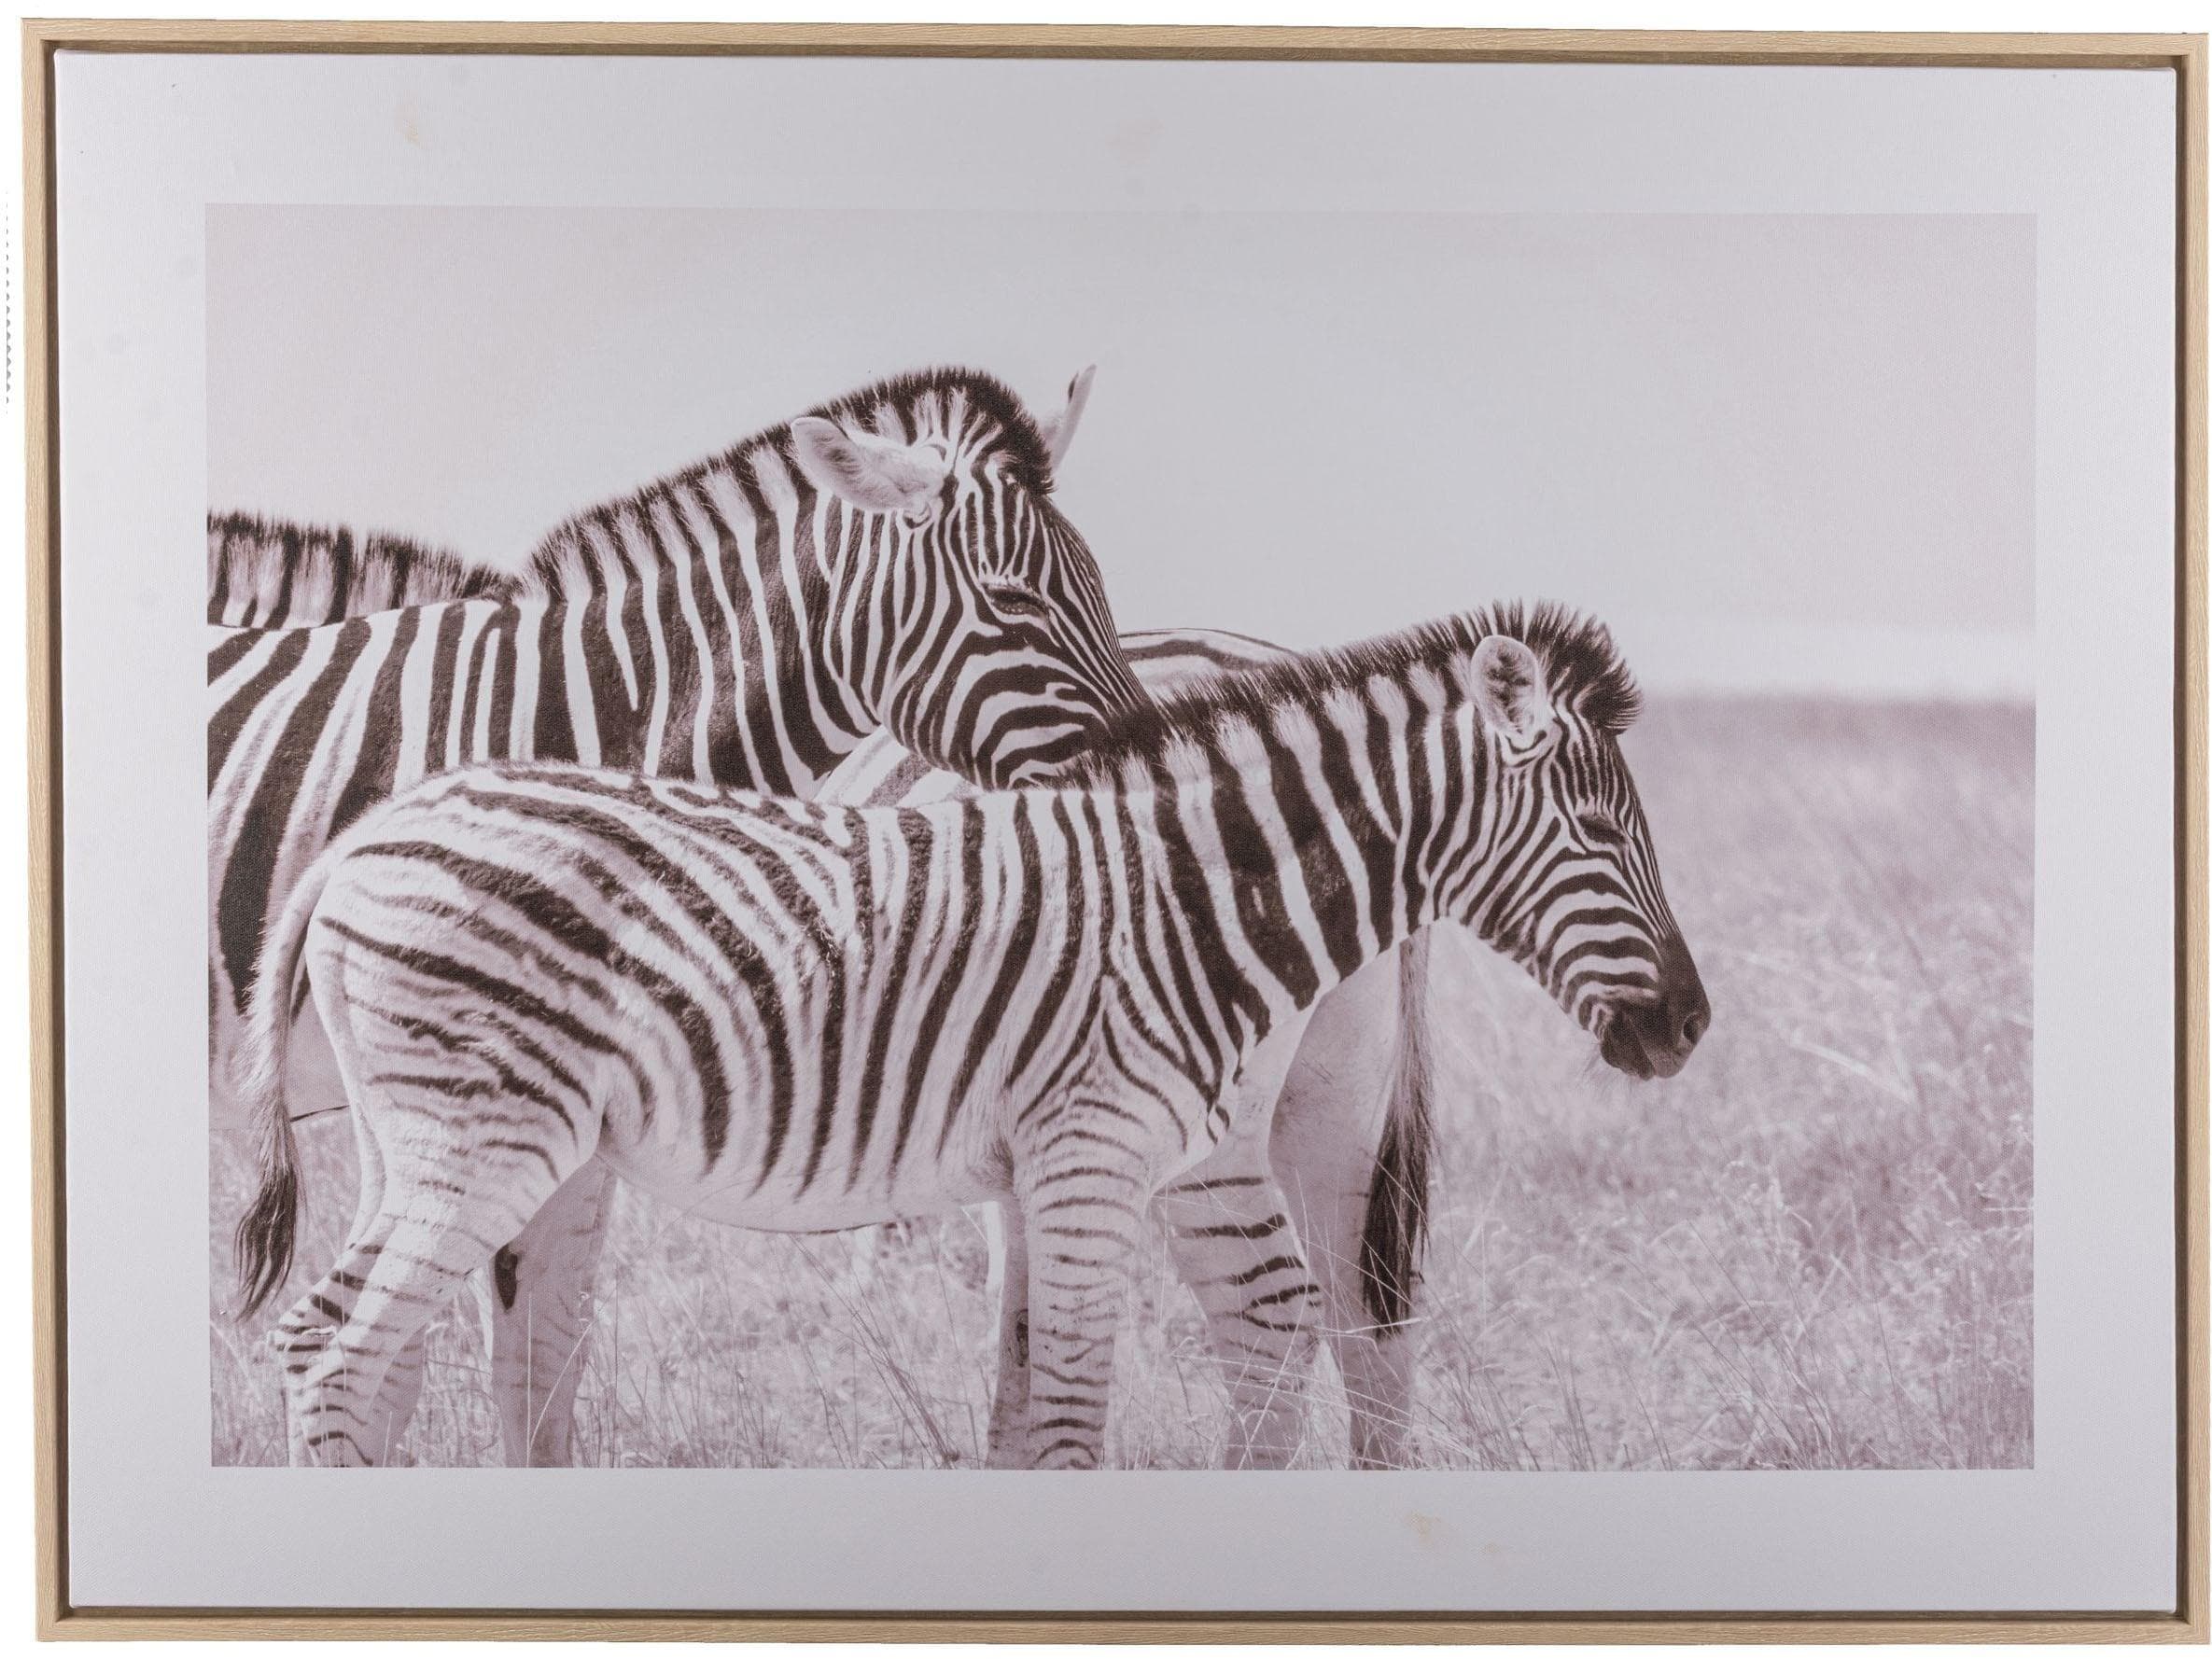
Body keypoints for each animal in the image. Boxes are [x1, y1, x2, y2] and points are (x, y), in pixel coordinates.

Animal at [232, 602, 1708, 1469]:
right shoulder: (1089, 1156)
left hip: (419, 1140)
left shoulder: (1073, 1166)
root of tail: (361, 839)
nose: (1687, 1025)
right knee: (339, 1343)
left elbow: (1047, 1400)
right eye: (1596, 828)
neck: (1186, 892)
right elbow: (1064, 1408)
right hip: (473, 1143)